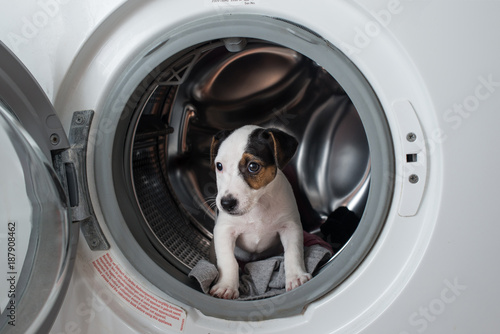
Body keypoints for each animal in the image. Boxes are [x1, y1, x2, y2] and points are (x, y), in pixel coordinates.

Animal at [208, 125, 310, 300]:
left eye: (253, 166)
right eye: (219, 166)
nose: (226, 204)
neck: (257, 206)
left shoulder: (290, 227)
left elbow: (293, 252)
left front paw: (296, 277)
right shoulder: (224, 231)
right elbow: (228, 261)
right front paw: (226, 286)